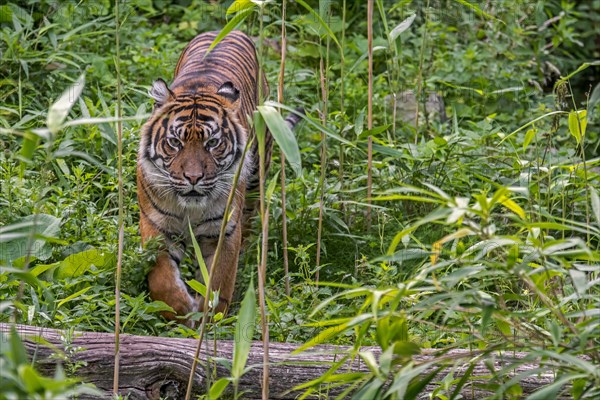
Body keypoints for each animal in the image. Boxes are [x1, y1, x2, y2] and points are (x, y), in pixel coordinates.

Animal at [138, 31, 302, 324]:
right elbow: (162, 280)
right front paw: (181, 312)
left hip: (258, 171)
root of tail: (227, 31)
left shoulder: (223, 230)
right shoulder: (156, 226)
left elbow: (219, 280)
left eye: (212, 143)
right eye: (175, 142)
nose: (193, 177)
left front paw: (210, 316)